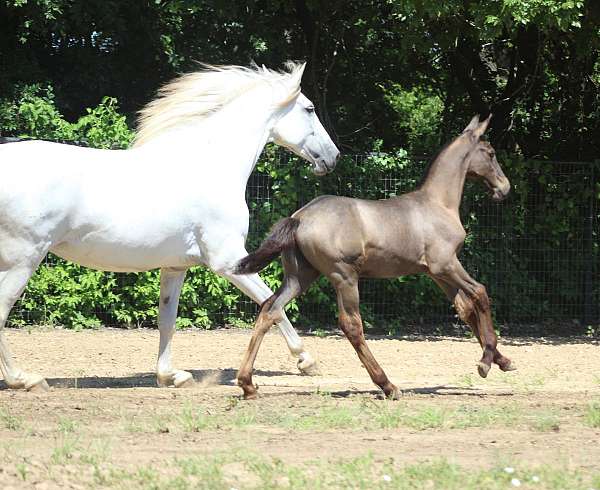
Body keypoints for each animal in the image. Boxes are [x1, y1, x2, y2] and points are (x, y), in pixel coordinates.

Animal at [0, 62, 338, 390]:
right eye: (309, 108)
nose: (333, 156)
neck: (210, 165)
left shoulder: (175, 267)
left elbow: (167, 320)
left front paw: (171, 376)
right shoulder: (228, 261)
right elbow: (272, 303)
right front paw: (307, 360)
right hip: (23, 260)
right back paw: (25, 380)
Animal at [234, 115, 516, 398]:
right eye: (490, 153)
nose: (505, 188)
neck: (438, 204)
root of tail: (299, 217)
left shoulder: (436, 273)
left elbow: (465, 309)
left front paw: (503, 361)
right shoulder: (446, 264)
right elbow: (480, 293)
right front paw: (485, 362)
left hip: (300, 276)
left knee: (270, 309)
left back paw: (248, 384)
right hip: (344, 276)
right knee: (351, 325)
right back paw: (388, 385)